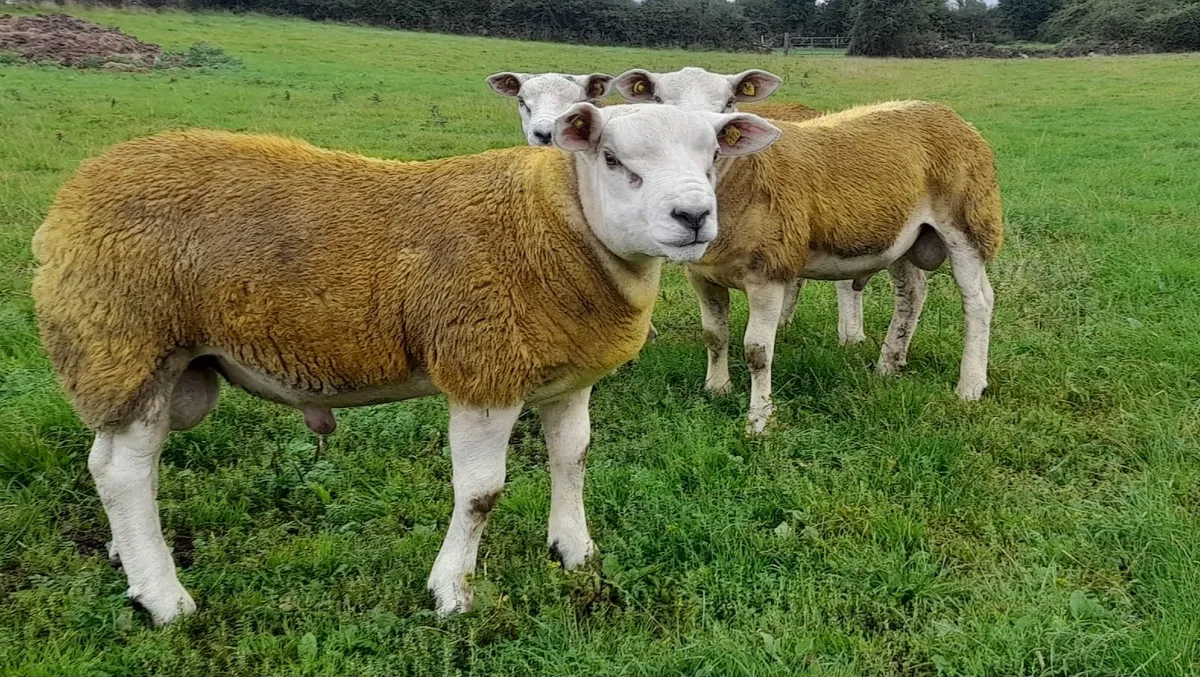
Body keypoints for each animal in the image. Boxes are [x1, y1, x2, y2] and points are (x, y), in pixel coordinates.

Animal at [31, 103, 782, 625]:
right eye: (614, 158)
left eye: (713, 156)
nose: (693, 215)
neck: (557, 223)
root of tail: (73, 196)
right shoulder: (483, 369)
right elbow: (480, 493)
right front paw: (453, 590)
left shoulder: (565, 376)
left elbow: (573, 458)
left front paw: (574, 551)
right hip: (126, 343)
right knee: (123, 472)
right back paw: (164, 598)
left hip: (144, 359)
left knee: (118, 464)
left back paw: (129, 559)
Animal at [614, 68, 1002, 433]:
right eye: (659, 101)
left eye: (728, 102)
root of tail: (942, 111)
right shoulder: (702, 274)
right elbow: (714, 335)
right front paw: (717, 388)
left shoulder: (769, 273)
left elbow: (757, 352)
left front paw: (759, 420)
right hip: (903, 236)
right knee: (912, 293)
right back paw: (889, 364)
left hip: (968, 220)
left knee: (978, 301)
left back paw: (969, 385)